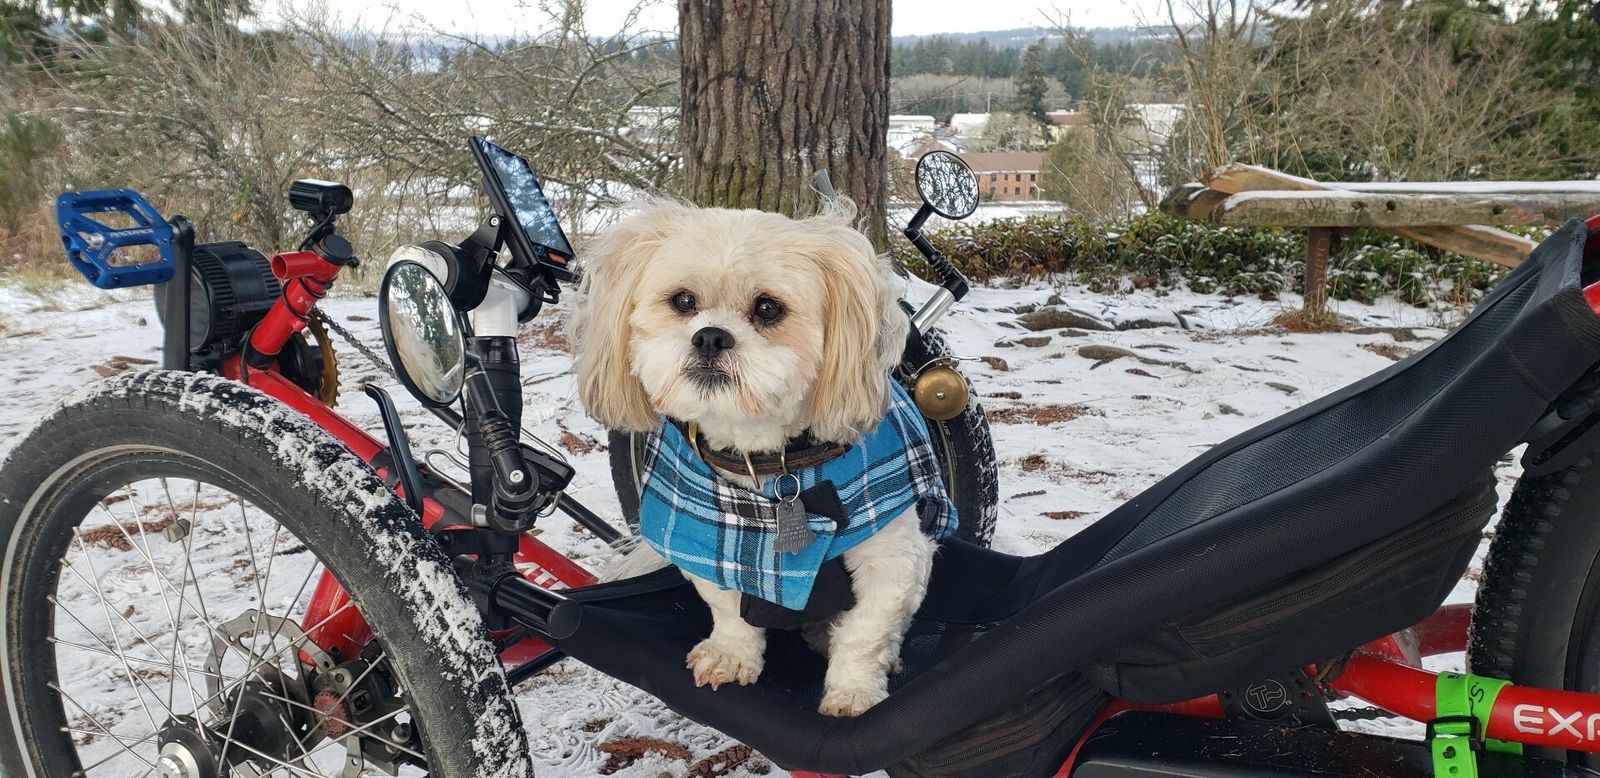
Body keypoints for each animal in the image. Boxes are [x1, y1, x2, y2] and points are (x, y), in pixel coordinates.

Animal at [570, 200, 951, 717]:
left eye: (768, 308)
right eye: (683, 302)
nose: (710, 337)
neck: (773, 467)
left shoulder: (892, 559)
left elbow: (865, 633)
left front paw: (853, 689)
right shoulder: (705, 544)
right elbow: (730, 610)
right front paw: (732, 655)